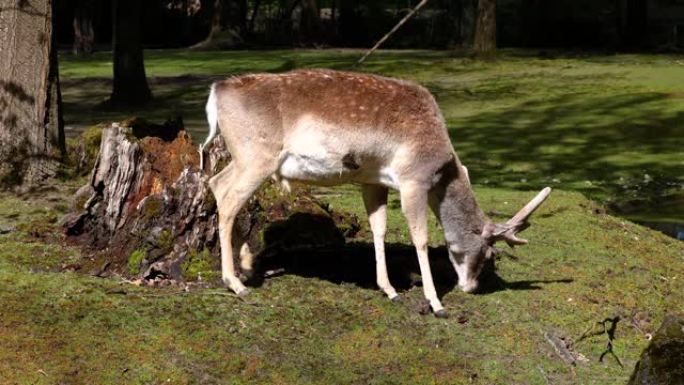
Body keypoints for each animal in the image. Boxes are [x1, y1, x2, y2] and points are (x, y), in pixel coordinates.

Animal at [199, 68, 552, 316]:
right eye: (489, 253)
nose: (472, 287)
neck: (441, 167)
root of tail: (216, 93)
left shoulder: (374, 181)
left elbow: (378, 227)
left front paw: (389, 289)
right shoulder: (413, 179)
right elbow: (420, 238)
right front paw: (436, 303)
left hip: (244, 158)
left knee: (216, 183)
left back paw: (245, 266)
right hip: (256, 155)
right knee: (228, 198)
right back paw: (235, 284)